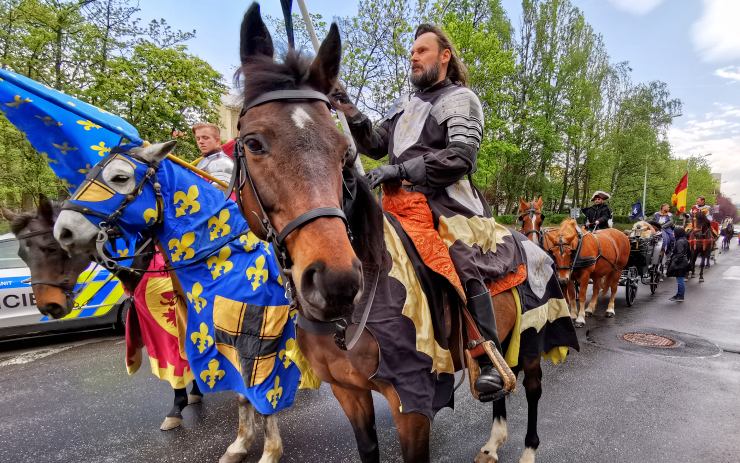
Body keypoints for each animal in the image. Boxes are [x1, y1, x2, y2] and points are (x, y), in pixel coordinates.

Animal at [225, 4, 572, 463]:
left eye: (343, 153)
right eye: (253, 143)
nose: (336, 282)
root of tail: (532, 240)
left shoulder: (411, 400)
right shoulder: (348, 391)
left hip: (536, 333)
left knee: (531, 388)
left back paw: (528, 449)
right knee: (503, 379)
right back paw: (494, 438)